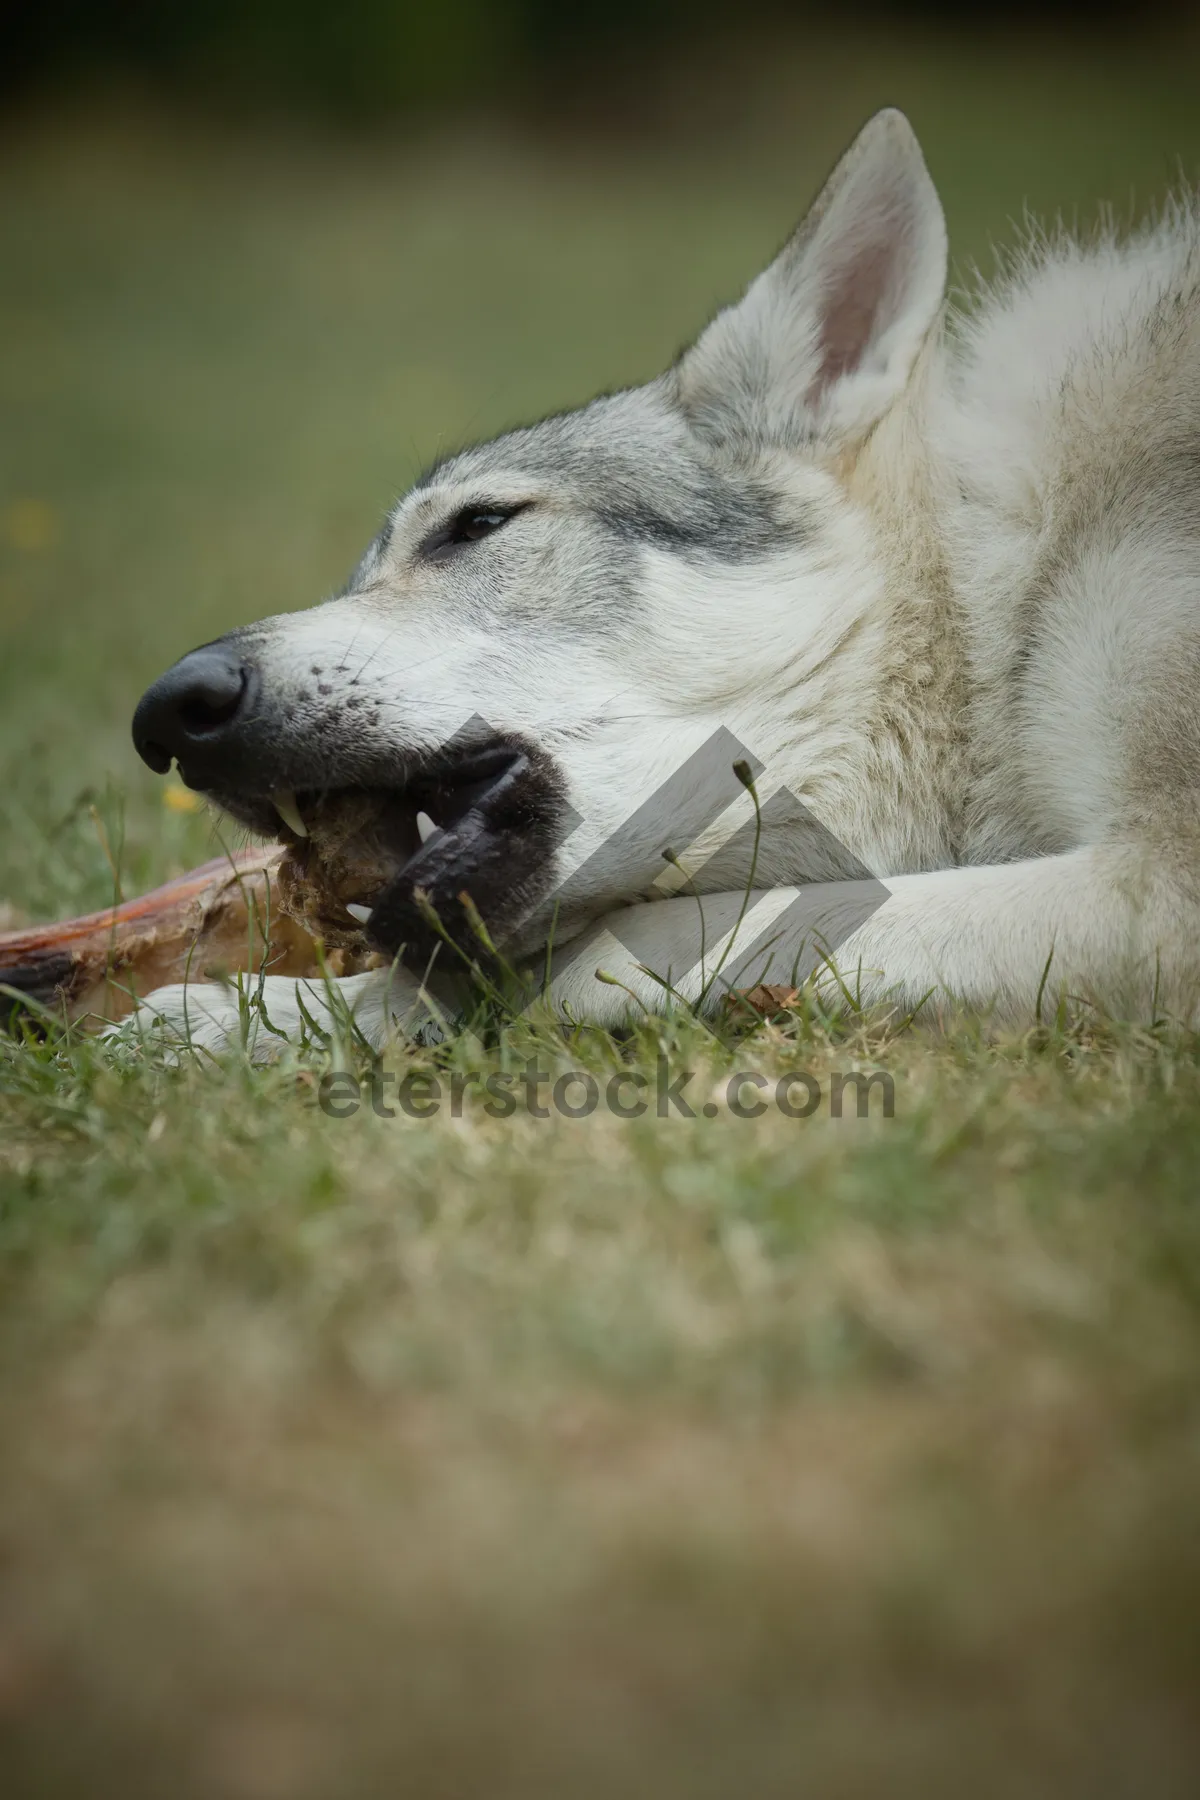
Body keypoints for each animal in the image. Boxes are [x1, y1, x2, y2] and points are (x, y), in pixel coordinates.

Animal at [129, 108, 1200, 1051]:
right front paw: (236, 1020)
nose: (167, 711)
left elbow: (609, 949)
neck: (995, 607)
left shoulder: (1153, 887)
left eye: (477, 527)